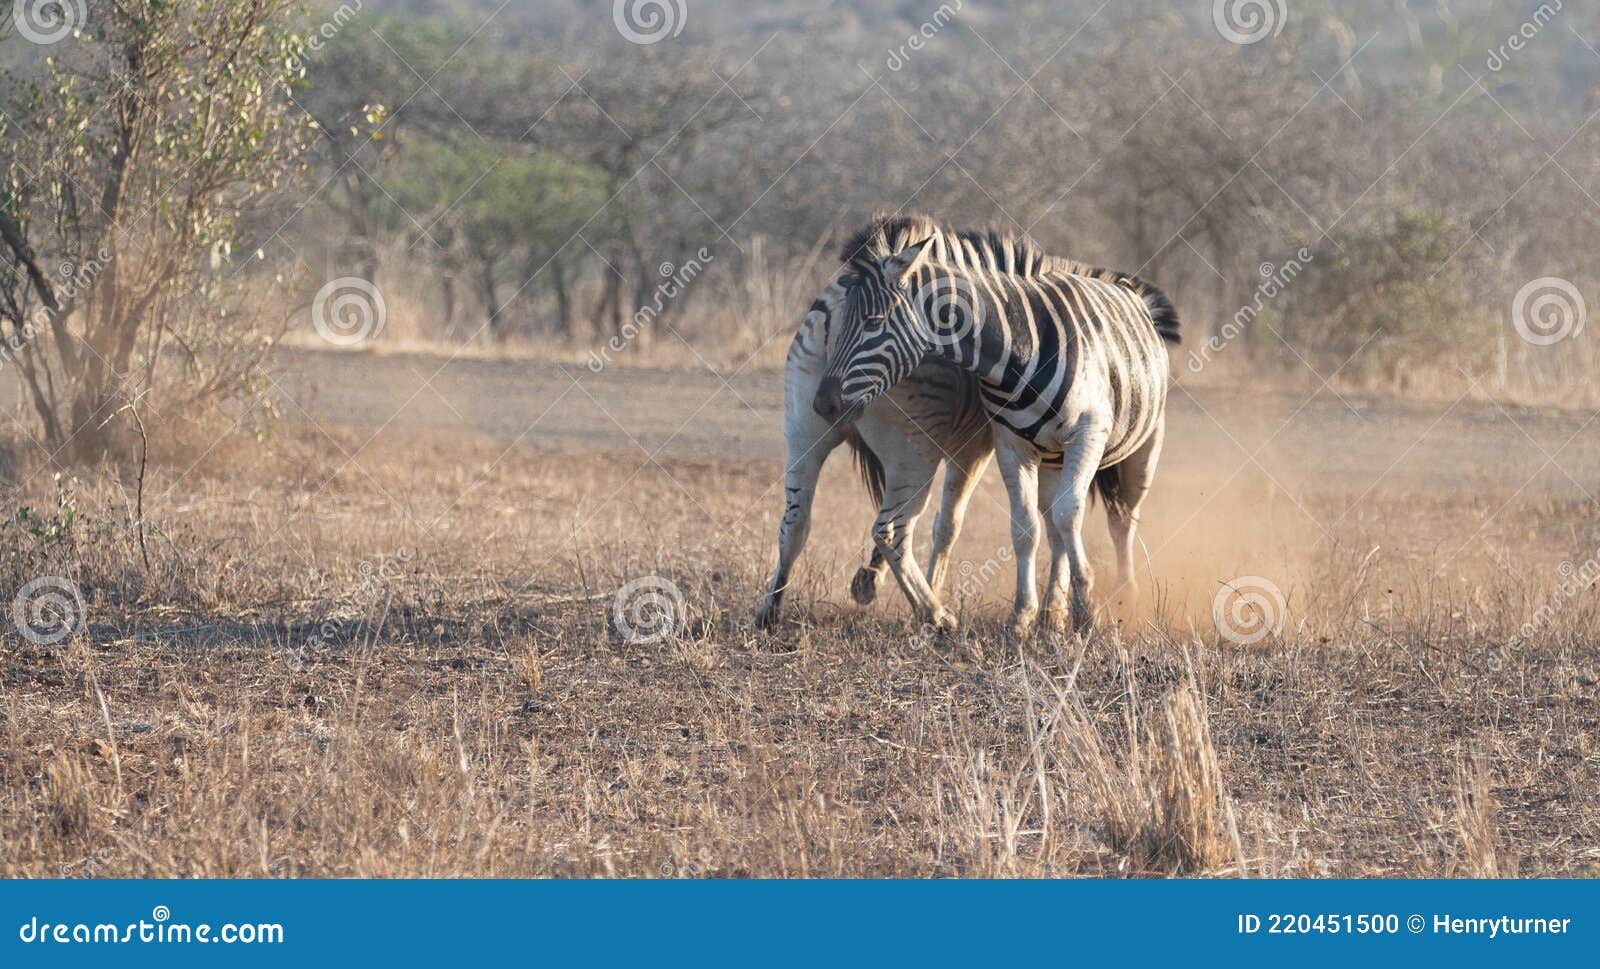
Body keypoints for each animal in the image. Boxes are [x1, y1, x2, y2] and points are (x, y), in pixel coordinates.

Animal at [812, 219, 1177, 639]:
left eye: (873, 322)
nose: (822, 404)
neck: (1017, 353)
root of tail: (1127, 287)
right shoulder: (1011, 446)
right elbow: (1026, 528)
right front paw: (1023, 616)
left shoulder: (1088, 433)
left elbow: (1071, 514)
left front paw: (1088, 612)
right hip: (1052, 457)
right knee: (1055, 527)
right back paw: (1053, 613)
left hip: (1144, 447)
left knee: (1122, 519)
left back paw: (1125, 598)